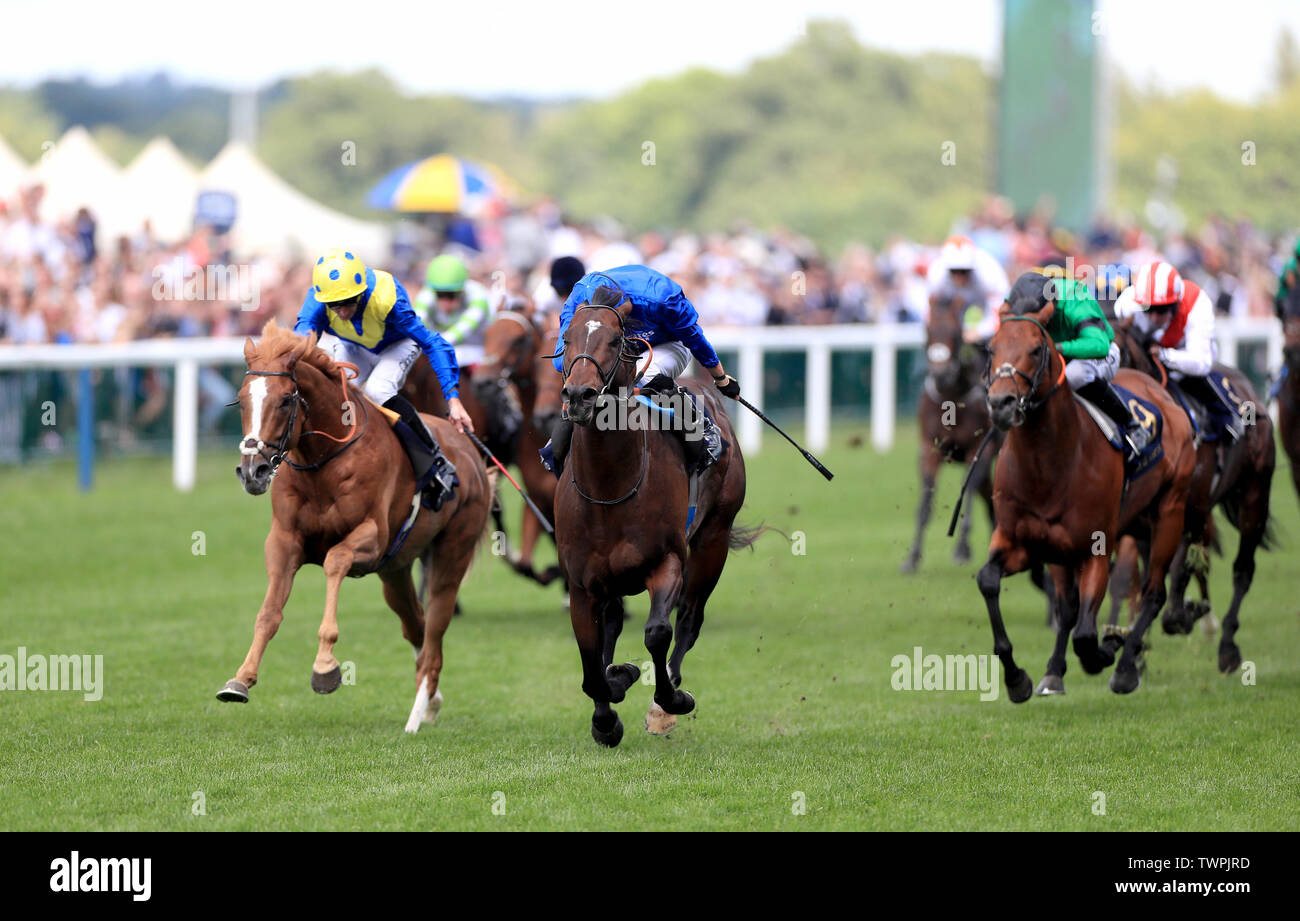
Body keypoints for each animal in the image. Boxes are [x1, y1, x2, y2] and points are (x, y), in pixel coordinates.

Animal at [220, 323, 493, 733]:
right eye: (241, 400)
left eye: (284, 401)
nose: (253, 472)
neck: (322, 462)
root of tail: (472, 453)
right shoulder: (284, 540)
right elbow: (268, 613)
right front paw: (240, 679)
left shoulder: (372, 539)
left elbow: (335, 560)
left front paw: (325, 667)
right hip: (395, 571)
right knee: (416, 626)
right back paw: (430, 700)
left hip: (451, 554)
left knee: (434, 633)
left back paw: (416, 716)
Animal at [556, 291, 754, 744]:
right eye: (567, 338)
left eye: (615, 340)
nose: (579, 395)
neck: (608, 488)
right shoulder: (581, 583)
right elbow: (591, 660)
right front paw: (606, 714)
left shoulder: (667, 562)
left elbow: (658, 632)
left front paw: (669, 699)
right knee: (613, 623)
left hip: (713, 538)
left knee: (690, 619)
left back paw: (666, 701)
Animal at [904, 291, 993, 572]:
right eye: (927, 329)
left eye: (955, 332)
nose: (941, 376)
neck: (952, 398)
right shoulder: (929, 449)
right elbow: (925, 505)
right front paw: (912, 557)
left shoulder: (979, 450)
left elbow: (967, 495)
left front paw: (962, 549)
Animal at [977, 301, 1196, 697]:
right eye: (991, 349)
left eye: (1037, 349)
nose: (1001, 403)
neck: (1048, 464)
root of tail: (1162, 394)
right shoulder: (1024, 541)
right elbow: (989, 580)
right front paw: (1018, 679)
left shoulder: (1096, 547)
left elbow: (1085, 634)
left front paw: (1107, 649)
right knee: (1070, 605)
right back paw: (1056, 671)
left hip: (1170, 509)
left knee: (1153, 592)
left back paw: (1125, 666)